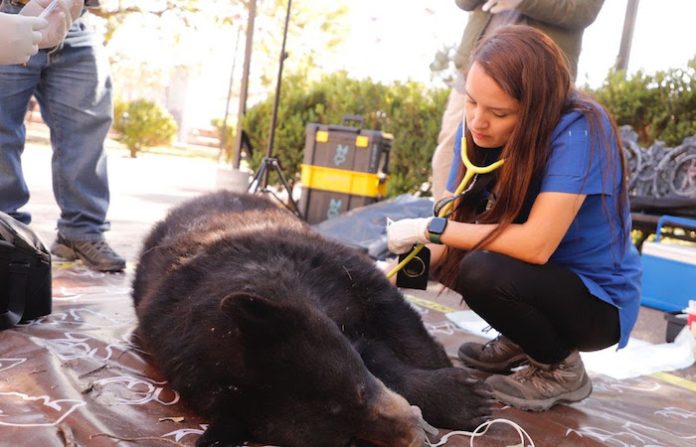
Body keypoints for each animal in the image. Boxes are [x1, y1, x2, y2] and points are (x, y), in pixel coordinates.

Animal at [132, 191, 492, 447]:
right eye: (347, 441)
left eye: (361, 390)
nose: (418, 434)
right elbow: (370, 349)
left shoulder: (324, 265)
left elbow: (391, 316)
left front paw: (457, 390)